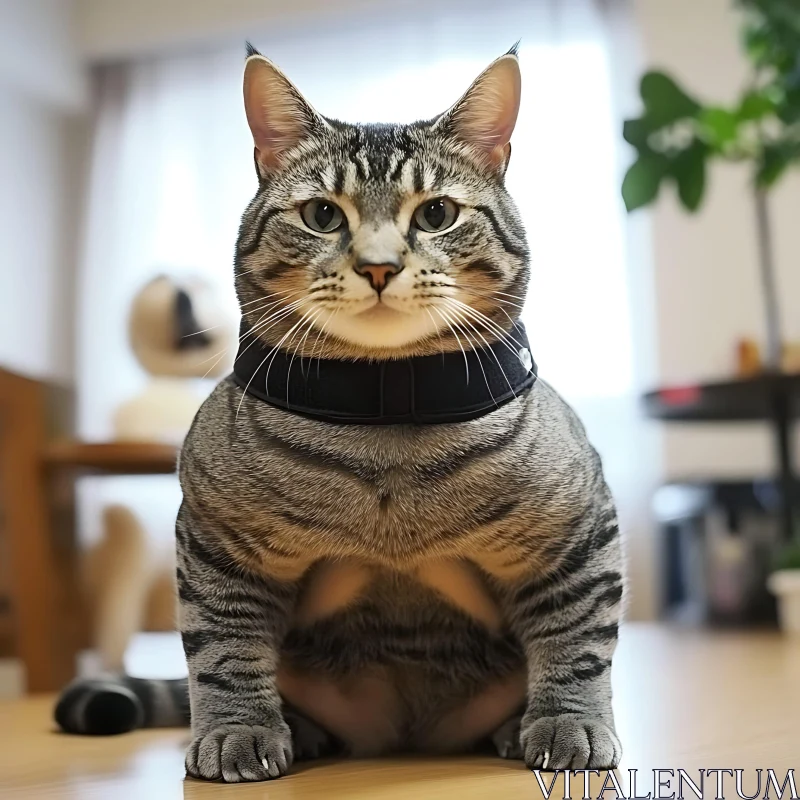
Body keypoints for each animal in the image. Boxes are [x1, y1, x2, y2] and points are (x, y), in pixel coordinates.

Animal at [59, 43, 628, 780]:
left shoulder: (579, 534)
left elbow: (577, 638)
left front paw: (568, 721)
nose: (379, 266)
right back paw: (301, 731)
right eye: (323, 216)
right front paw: (238, 729)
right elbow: (221, 649)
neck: (385, 415)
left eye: (436, 214)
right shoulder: (215, 545)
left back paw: (510, 726)